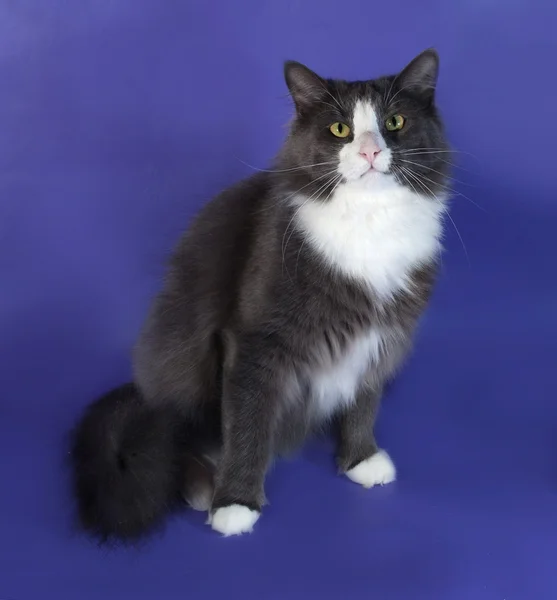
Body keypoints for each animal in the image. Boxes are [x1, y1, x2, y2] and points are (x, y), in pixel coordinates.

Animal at [70, 49, 452, 540]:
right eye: (340, 129)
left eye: (394, 121)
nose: (369, 150)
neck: (369, 224)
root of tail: (141, 386)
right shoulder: (254, 342)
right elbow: (247, 424)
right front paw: (236, 504)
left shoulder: (380, 334)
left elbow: (363, 401)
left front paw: (360, 459)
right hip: (181, 358)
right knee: (175, 433)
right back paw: (201, 487)